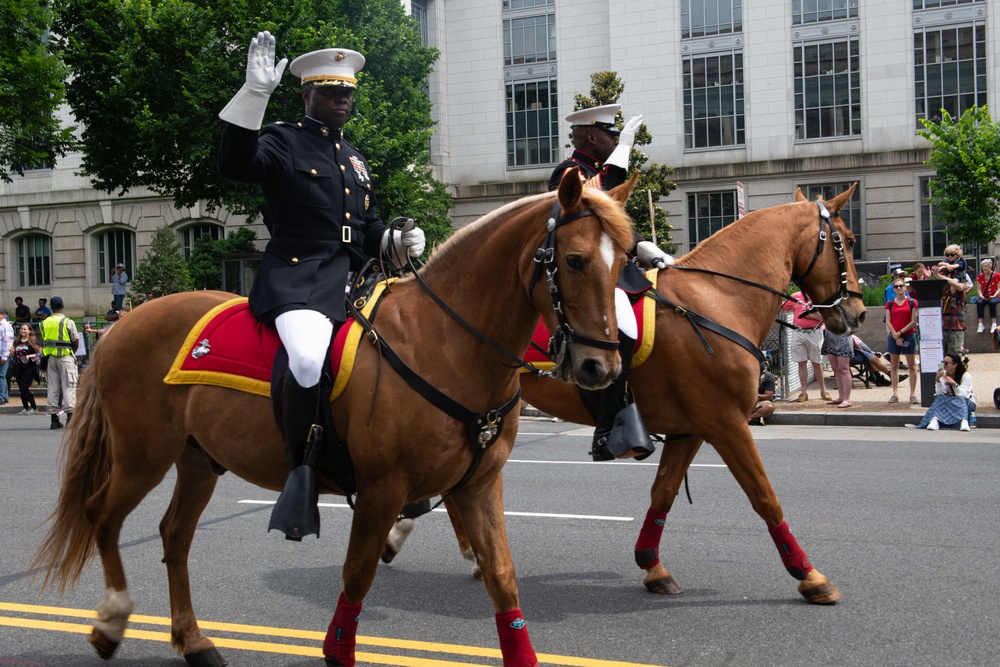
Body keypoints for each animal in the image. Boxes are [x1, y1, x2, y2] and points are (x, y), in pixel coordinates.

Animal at [33, 172, 640, 667]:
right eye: (575, 260)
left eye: (626, 260)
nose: (602, 366)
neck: (445, 344)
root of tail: (121, 323)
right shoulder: (381, 488)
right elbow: (357, 575)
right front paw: (338, 645)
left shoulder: (478, 484)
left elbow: (503, 579)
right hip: (142, 456)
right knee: (102, 515)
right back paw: (112, 620)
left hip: (198, 460)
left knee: (174, 536)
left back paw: (193, 641)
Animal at [382, 183, 868, 604]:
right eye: (846, 240)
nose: (859, 312)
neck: (715, 299)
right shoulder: (726, 422)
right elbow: (765, 496)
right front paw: (809, 575)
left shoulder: (692, 429)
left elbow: (663, 493)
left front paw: (652, 565)